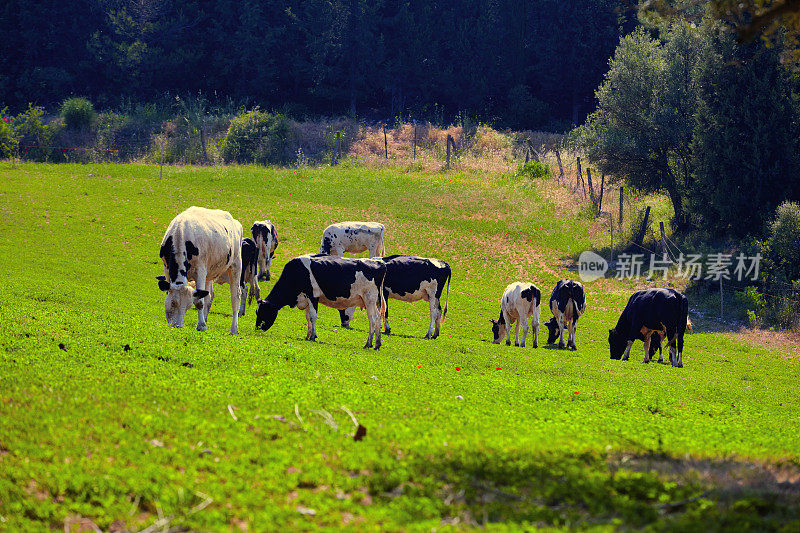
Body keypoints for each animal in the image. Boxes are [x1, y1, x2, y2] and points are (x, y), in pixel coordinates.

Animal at [256, 255, 388, 350]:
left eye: (262, 312)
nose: (257, 328)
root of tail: (379, 263)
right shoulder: (306, 299)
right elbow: (308, 318)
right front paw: (308, 336)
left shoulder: (312, 296)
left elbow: (313, 317)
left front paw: (313, 336)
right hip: (375, 301)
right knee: (378, 320)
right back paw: (377, 344)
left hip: (369, 299)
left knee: (373, 320)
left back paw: (368, 344)